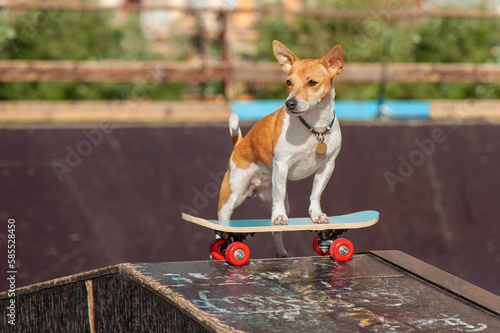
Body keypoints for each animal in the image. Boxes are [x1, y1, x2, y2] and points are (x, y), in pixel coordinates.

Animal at [218, 39, 344, 256]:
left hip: (280, 199)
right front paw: (278, 217)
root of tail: (240, 143)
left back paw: (281, 253)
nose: (289, 103)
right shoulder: (282, 165)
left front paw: (317, 215)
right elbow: (279, 198)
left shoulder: (327, 167)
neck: (315, 128)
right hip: (230, 198)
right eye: (288, 82)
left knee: (275, 232)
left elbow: (315, 194)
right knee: (222, 231)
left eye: (312, 82)